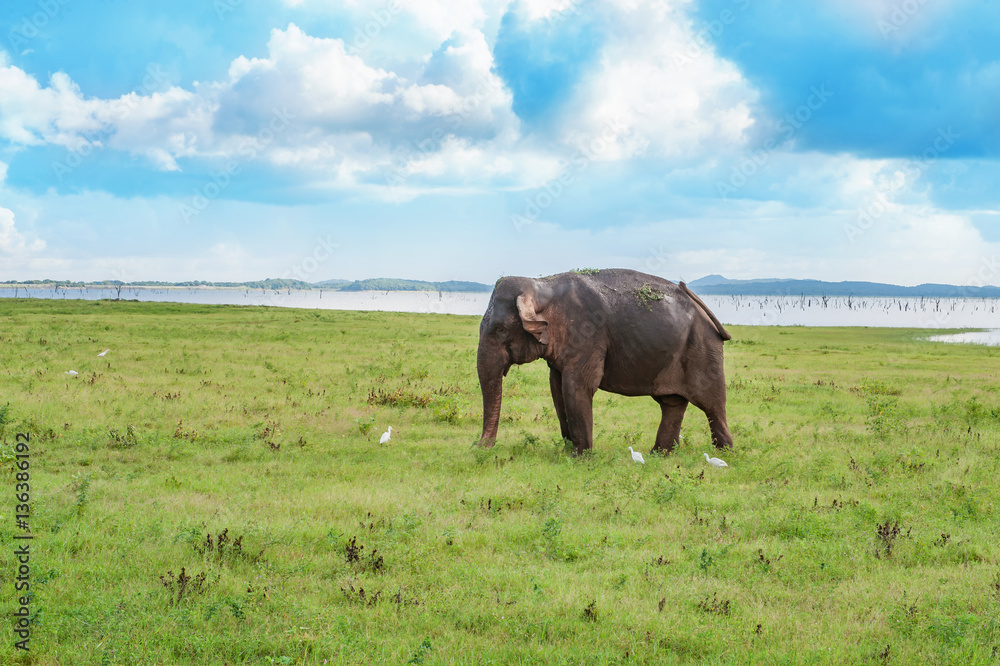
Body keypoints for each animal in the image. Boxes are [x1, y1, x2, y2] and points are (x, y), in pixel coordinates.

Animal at [477, 269, 733, 455]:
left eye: (501, 330)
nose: (480, 447)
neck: (543, 284)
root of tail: (705, 311)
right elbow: (557, 388)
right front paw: (567, 452)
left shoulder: (587, 335)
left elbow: (577, 386)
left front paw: (580, 458)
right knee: (672, 404)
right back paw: (658, 455)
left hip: (703, 351)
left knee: (712, 404)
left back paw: (724, 454)